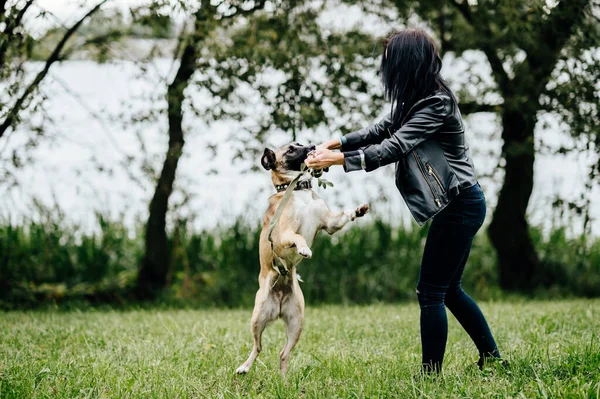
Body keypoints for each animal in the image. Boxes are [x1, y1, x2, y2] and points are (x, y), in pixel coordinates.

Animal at [236, 142, 368, 376]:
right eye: (290, 149)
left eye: (299, 143)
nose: (312, 146)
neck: (299, 188)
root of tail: (279, 303)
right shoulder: (283, 236)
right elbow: (298, 237)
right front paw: (304, 248)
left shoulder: (330, 223)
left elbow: (342, 217)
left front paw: (357, 211)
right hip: (257, 317)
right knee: (258, 347)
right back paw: (244, 367)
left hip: (296, 324)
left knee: (283, 354)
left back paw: (283, 380)